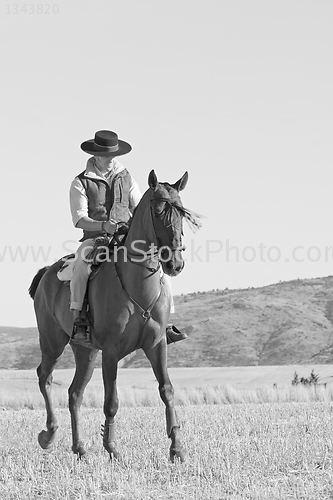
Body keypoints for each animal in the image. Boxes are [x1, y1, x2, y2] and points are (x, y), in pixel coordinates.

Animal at [27, 168, 200, 460]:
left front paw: (177, 448)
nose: (175, 264)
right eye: (157, 211)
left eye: (182, 214)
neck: (136, 283)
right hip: (53, 343)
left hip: (85, 351)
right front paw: (112, 448)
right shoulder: (110, 351)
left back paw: (80, 448)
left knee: (75, 393)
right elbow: (111, 401)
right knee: (45, 377)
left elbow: (167, 390)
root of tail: (47, 273)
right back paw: (48, 436)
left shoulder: (156, 345)